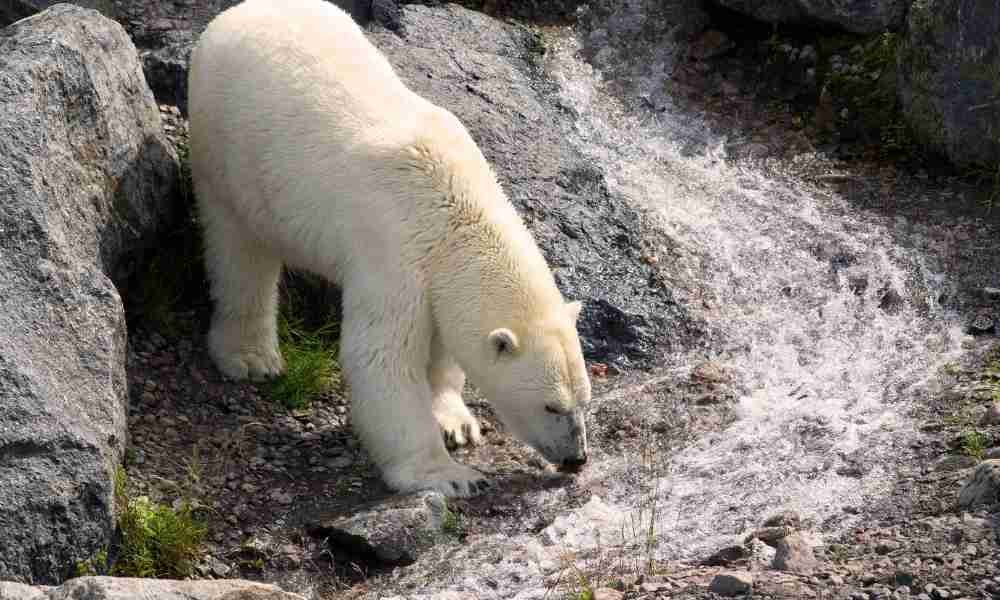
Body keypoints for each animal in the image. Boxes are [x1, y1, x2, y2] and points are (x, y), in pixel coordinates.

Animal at [189, 0, 584, 496]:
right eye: (552, 406)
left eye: (584, 400)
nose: (576, 458)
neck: (454, 210)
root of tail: (235, 14)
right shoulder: (394, 252)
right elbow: (382, 356)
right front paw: (448, 476)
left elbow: (443, 342)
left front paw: (456, 423)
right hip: (227, 150)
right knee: (240, 253)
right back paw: (250, 356)